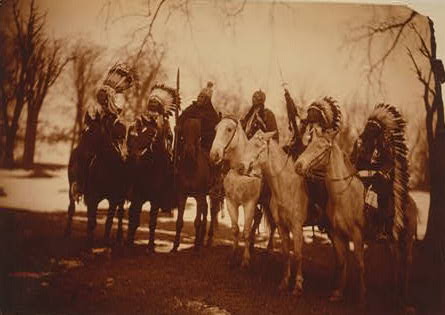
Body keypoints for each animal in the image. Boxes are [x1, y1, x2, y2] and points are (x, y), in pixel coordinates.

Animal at [173, 119, 222, 254]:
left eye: (198, 134)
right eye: (184, 132)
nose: (189, 150)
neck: (191, 167)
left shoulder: (199, 195)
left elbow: (197, 222)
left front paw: (195, 248)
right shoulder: (182, 195)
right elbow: (179, 222)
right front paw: (175, 246)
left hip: (214, 192)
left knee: (213, 211)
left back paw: (208, 238)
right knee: (206, 209)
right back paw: (201, 238)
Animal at [208, 117, 274, 268]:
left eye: (229, 129)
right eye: (216, 129)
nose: (214, 155)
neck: (240, 173)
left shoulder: (249, 204)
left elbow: (246, 232)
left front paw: (245, 260)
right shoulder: (231, 203)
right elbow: (235, 230)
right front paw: (233, 257)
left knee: (273, 225)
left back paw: (268, 249)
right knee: (258, 217)